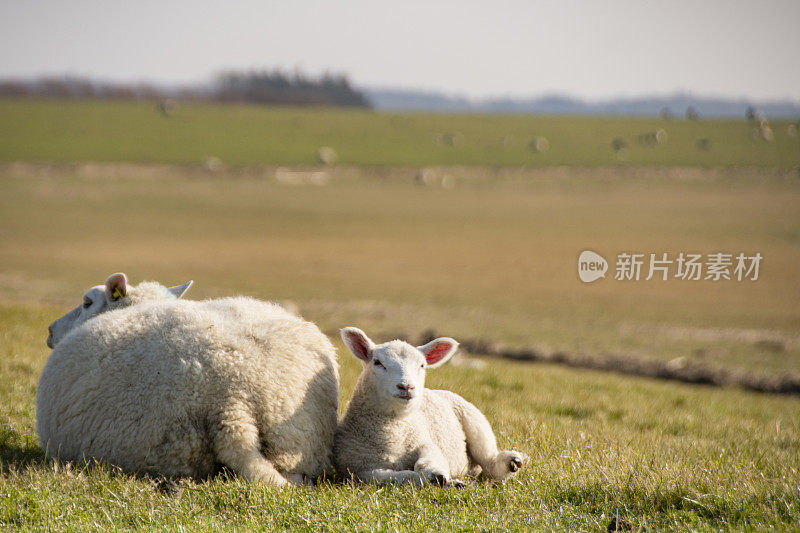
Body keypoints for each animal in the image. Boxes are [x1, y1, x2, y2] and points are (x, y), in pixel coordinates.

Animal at [332, 326, 524, 484]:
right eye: (377, 362)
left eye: (422, 365)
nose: (406, 386)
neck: (394, 432)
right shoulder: (358, 471)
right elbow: (401, 476)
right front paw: (434, 479)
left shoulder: (425, 443)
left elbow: (427, 461)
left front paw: (436, 475)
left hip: (475, 420)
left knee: (490, 463)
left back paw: (511, 462)